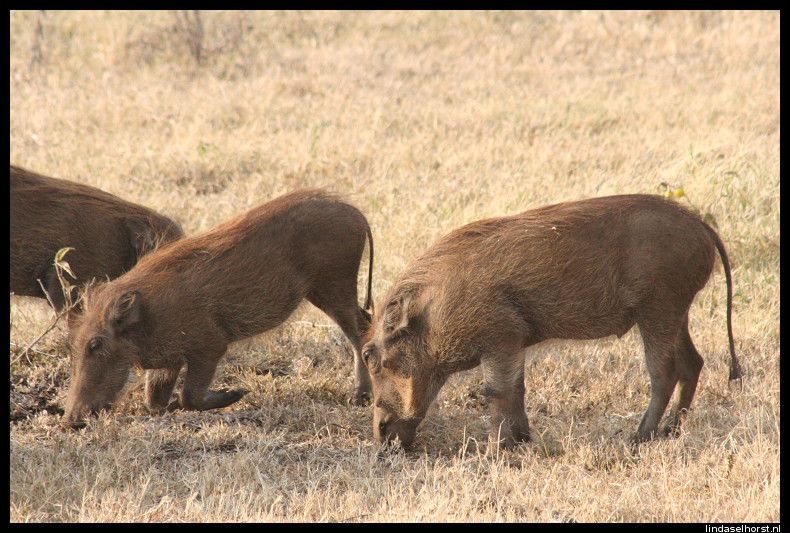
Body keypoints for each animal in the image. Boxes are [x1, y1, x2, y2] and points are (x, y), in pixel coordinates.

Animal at [63, 189, 375, 428]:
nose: (70, 421)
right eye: (73, 345)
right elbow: (154, 401)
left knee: (360, 332)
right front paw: (170, 406)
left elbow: (190, 396)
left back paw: (361, 397)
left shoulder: (209, 346)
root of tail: (356, 212)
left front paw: (236, 394)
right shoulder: (169, 358)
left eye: (95, 344)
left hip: (334, 285)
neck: (145, 318)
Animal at [362, 194, 742, 449]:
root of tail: (700, 224)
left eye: (371, 358)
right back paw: (671, 431)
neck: (433, 313)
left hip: (657, 310)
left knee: (665, 372)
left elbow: (496, 392)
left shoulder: (500, 338)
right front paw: (521, 441)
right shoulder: (513, 343)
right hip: (677, 312)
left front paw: (496, 449)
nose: (381, 437)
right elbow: (517, 389)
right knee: (693, 363)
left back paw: (639, 438)